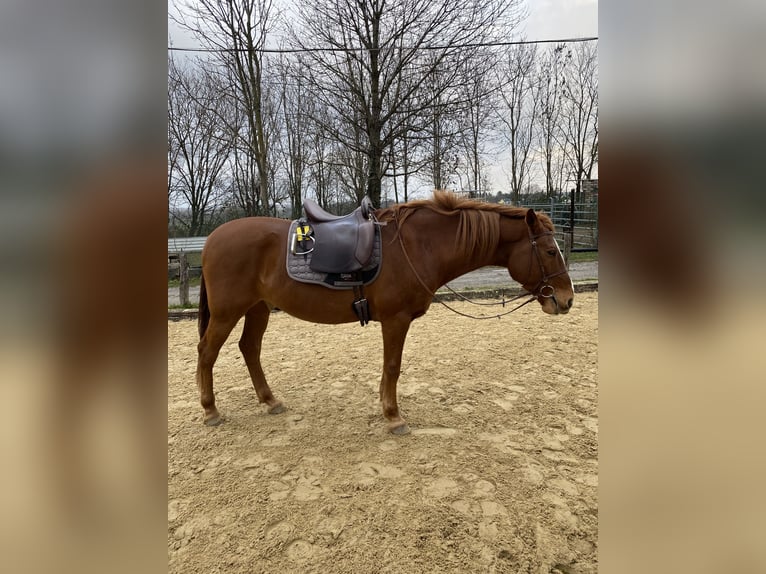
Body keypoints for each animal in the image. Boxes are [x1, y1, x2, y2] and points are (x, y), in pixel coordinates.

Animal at [196, 190, 574, 434]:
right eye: (550, 251)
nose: (566, 300)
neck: (419, 246)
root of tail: (212, 239)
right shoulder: (396, 320)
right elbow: (393, 366)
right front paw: (393, 416)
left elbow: (388, 368)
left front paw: (385, 407)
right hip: (228, 312)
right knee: (207, 352)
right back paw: (210, 410)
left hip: (257, 308)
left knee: (249, 348)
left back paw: (270, 400)